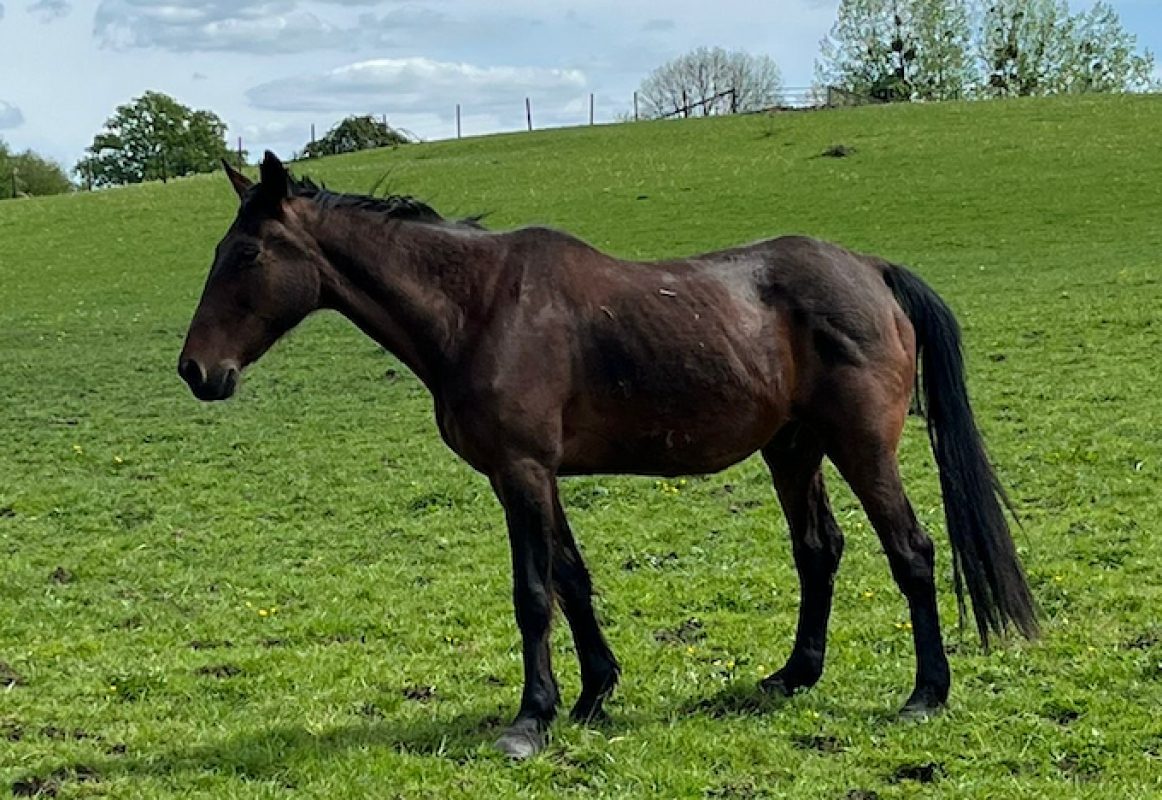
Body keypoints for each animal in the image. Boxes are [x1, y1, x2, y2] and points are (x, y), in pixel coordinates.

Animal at [179, 152, 1037, 759]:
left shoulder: (522, 471)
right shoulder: (531, 475)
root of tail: (872, 272)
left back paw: (926, 693)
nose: (195, 370)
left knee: (912, 552)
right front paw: (593, 695)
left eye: (248, 255)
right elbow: (572, 579)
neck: (479, 308)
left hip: (860, 447)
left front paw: (531, 719)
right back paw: (792, 675)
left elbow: (533, 593)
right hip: (792, 449)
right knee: (818, 550)